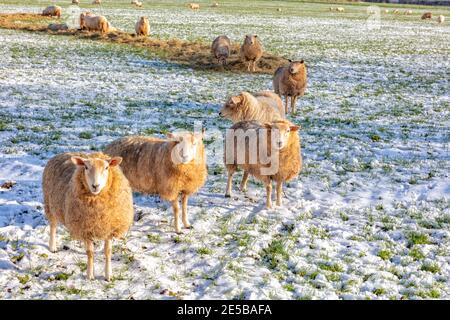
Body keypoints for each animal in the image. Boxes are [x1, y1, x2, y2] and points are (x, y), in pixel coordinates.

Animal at [41, 152, 134, 280]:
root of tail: (60, 154)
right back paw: (52, 247)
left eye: (106, 167)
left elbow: (108, 251)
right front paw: (90, 275)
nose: (95, 185)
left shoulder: (109, 226)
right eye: (86, 167)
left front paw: (108, 275)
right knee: (53, 226)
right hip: (51, 204)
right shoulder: (85, 228)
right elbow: (90, 253)